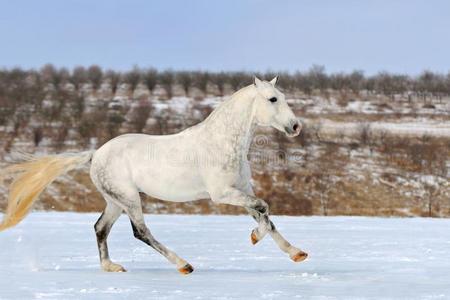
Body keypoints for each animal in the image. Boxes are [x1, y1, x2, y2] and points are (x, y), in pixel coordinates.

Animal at [0, 77, 306, 274]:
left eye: (284, 98)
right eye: (273, 99)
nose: (295, 126)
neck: (221, 141)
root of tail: (96, 154)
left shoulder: (243, 189)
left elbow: (265, 214)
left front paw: (297, 253)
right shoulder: (222, 194)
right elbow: (264, 208)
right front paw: (255, 237)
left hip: (116, 201)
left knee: (100, 228)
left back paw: (111, 267)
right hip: (129, 198)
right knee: (140, 232)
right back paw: (183, 265)